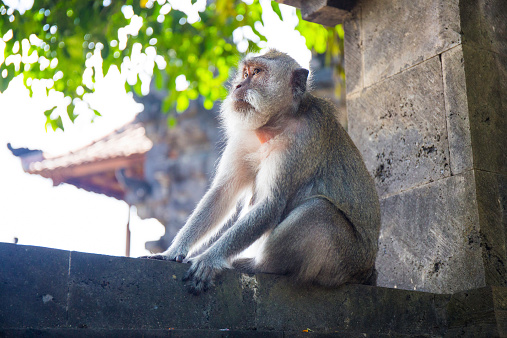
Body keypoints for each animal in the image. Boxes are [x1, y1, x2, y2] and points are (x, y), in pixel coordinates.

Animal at [143, 48, 380, 294]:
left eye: (257, 72)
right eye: (245, 73)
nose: (238, 85)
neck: (274, 124)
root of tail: (367, 271)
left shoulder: (301, 140)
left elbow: (270, 204)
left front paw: (209, 258)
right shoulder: (245, 135)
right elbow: (222, 192)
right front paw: (172, 252)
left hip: (343, 261)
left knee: (319, 210)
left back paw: (257, 265)